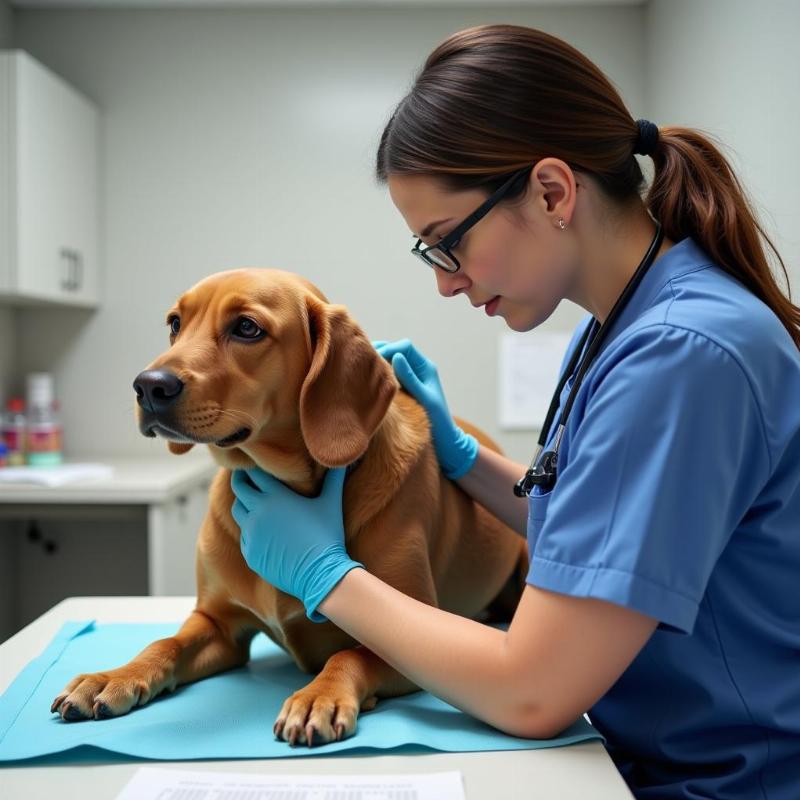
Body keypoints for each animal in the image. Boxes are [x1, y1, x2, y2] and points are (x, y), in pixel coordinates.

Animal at [48, 268, 524, 744]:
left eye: (246, 328)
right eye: (174, 323)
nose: (148, 385)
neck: (285, 485)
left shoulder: (407, 635)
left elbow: (349, 655)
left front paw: (320, 694)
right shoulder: (218, 625)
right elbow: (165, 642)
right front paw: (114, 676)